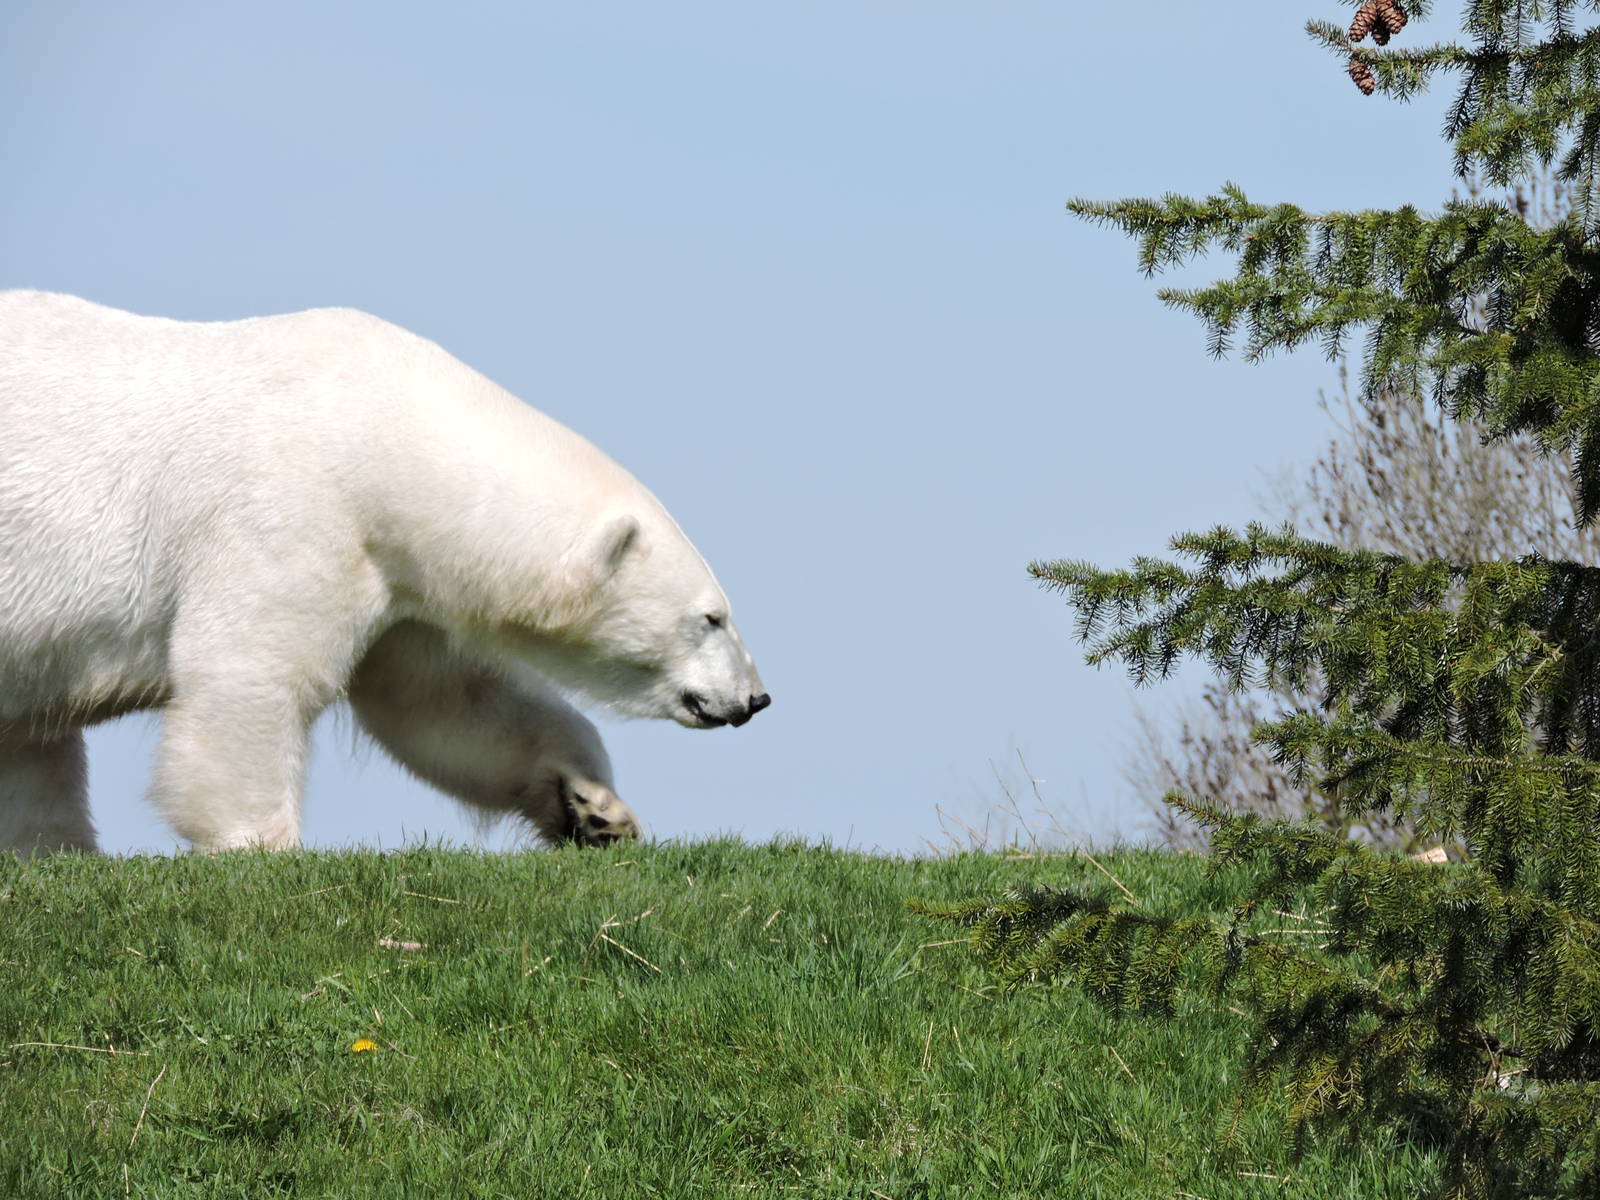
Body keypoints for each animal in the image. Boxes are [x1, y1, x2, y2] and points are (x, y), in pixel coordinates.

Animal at [0, 291, 769, 855]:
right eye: (712, 617)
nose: (755, 699)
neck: (373, 432)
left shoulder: (398, 578)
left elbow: (447, 706)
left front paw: (595, 809)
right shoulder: (288, 511)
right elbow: (252, 669)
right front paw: (261, 845)